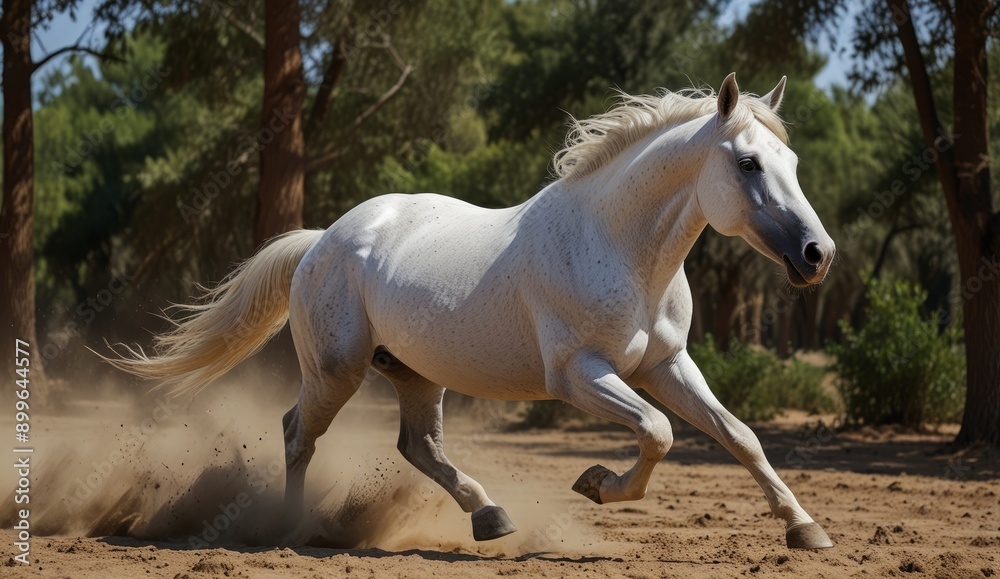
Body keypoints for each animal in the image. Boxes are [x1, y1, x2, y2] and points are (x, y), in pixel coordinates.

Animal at [106, 73, 836, 549]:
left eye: (795, 160)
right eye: (748, 163)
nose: (817, 254)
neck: (619, 246)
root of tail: (320, 242)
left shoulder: (665, 365)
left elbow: (739, 435)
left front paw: (806, 527)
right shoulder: (580, 374)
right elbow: (658, 433)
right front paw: (597, 484)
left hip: (413, 373)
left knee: (417, 446)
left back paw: (490, 516)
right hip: (337, 370)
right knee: (295, 433)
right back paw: (289, 529)